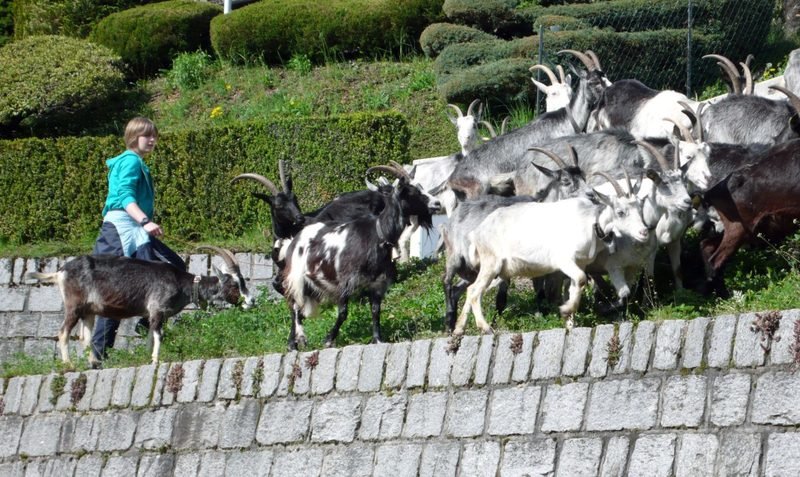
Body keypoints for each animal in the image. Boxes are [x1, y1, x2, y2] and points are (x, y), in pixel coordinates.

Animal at [24, 246, 251, 365]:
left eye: (243, 280)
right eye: (234, 284)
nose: (251, 302)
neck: (181, 283)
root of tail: (60, 271)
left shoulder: (154, 315)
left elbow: (150, 336)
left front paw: (149, 358)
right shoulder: (157, 309)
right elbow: (159, 336)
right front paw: (156, 360)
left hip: (89, 310)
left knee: (85, 337)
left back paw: (93, 363)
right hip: (74, 305)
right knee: (63, 332)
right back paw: (69, 364)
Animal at [281, 166, 426, 350]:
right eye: (412, 192)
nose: (436, 204)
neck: (377, 235)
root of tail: (293, 239)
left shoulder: (377, 283)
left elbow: (376, 310)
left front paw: (378, 339)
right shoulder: (345, 282)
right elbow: (343, 313)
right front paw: (329, 339)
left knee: (298, 309)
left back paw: (294, 342)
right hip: (296, 278)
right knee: (294, 306)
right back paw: (296, 341)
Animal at [453, 179, 650, 335]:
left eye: (640, 208)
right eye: (620, 212)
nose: (644, 232)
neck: (590, 222)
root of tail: (477, 232)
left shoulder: (579, 264)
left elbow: (574, 286)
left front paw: (570, 324)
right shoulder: (564, 261)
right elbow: (580, 279)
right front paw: (565, 311)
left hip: (497, 270)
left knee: (470, 289)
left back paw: (458, 330)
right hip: (491, 263)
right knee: (474, 292)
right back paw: (486, 328)